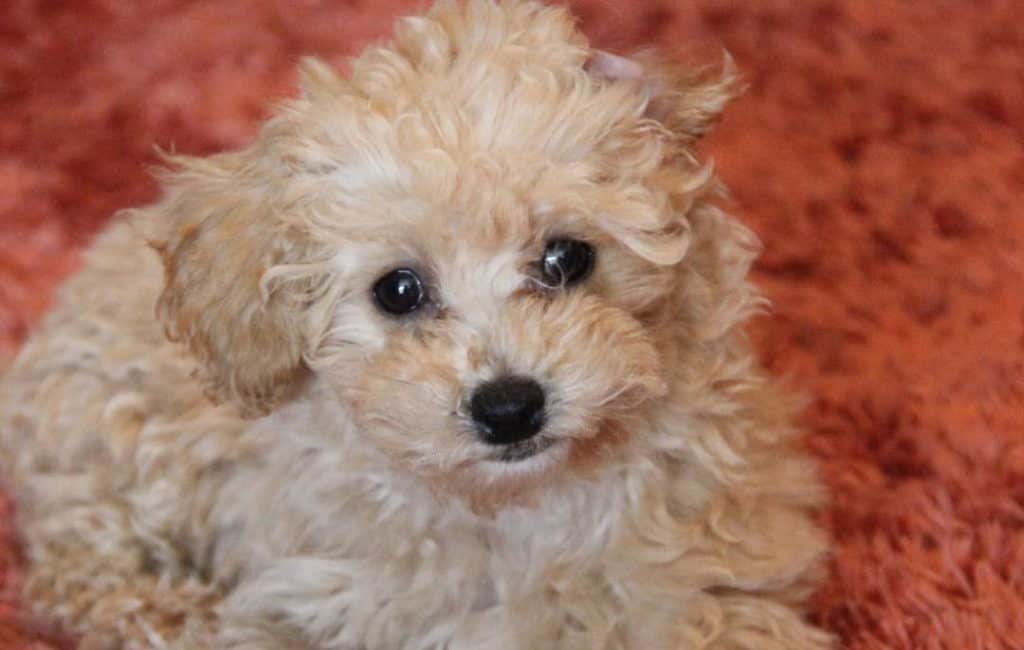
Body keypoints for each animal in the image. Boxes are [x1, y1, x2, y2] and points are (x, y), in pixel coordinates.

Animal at [0, 1, 831, 650]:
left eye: (568, 257)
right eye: (398, 291)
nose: (509, 407)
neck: (510, 508)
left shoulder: (712, 564)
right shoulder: (317, 592)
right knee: (84, 569)